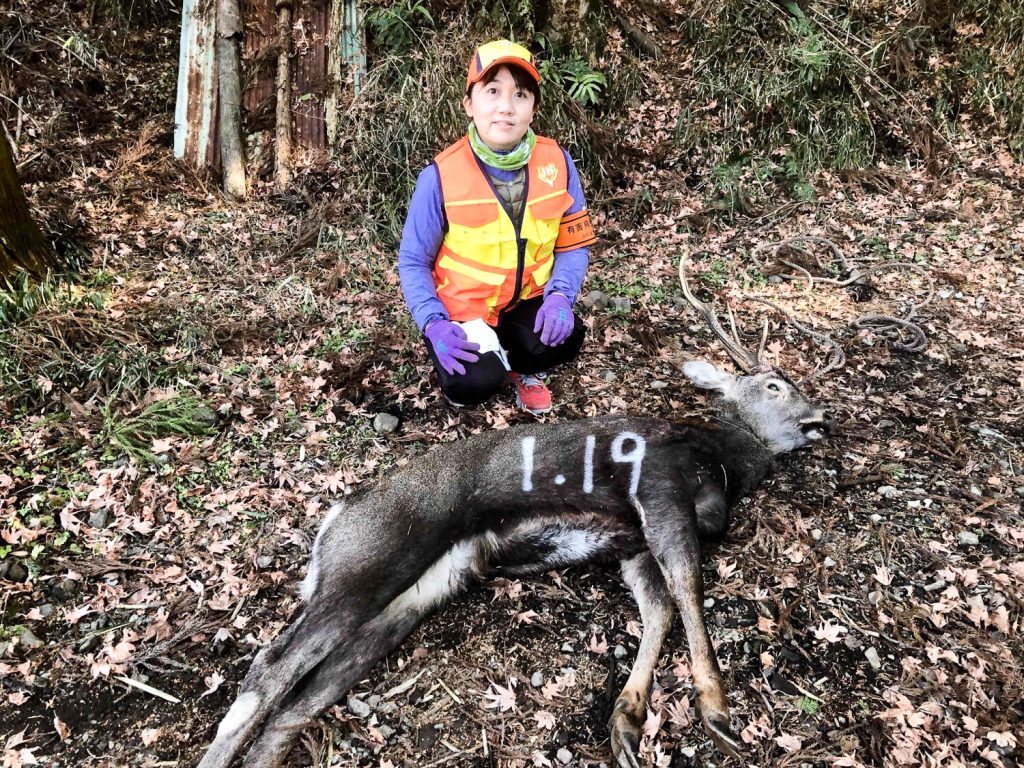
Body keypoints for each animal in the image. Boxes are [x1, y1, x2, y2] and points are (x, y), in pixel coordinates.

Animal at [195, 253, 835, 768]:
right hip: (373, 557)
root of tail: (335, 519)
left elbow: (659, 610)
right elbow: (688, 588)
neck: (723, 463)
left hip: (411, 598)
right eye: (775, 385)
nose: (821, 419)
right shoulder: (658, 487)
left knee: (296, 703)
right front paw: (717, 711)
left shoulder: (631, 543)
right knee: (269, 667)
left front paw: (627, 722)